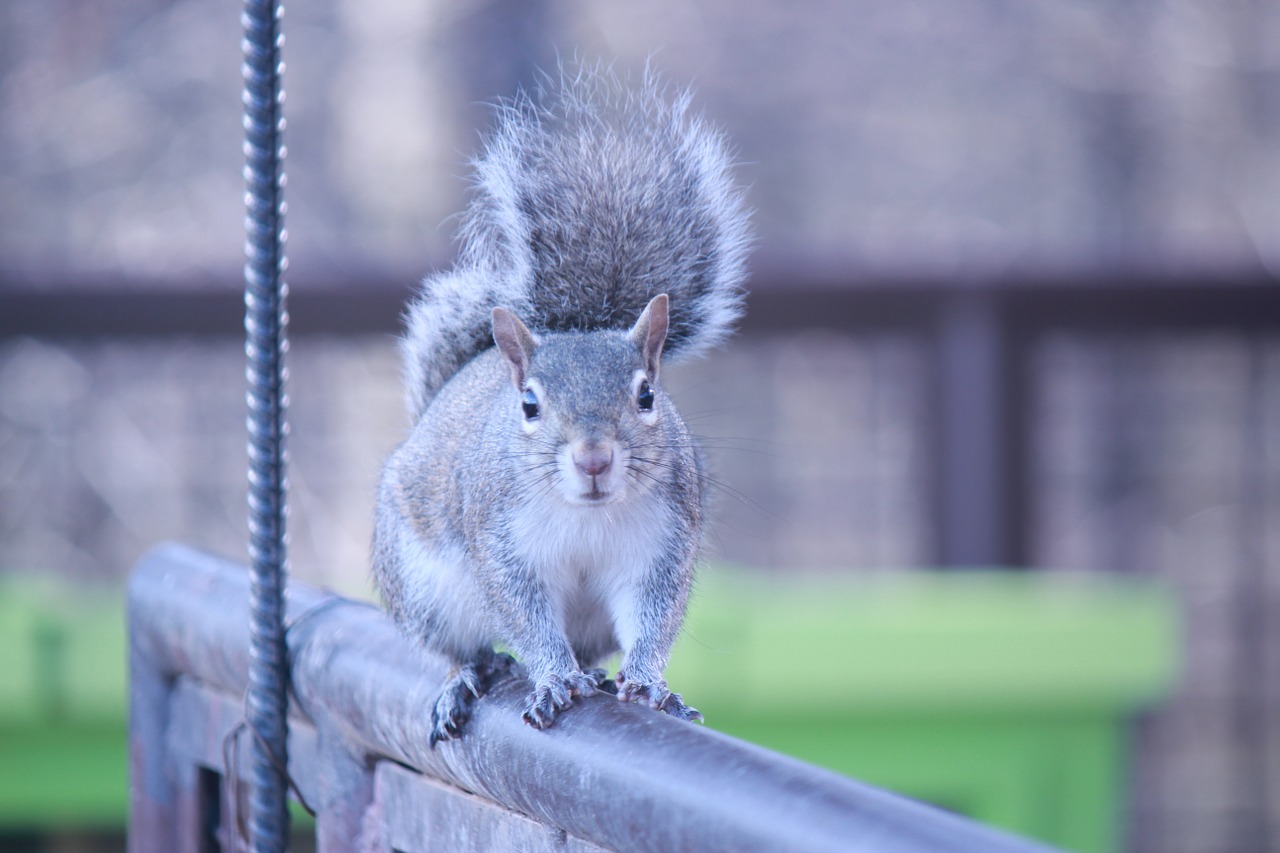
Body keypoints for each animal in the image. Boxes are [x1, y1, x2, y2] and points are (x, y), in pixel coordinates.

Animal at [371, 69, 747, 742]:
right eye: (528, 405)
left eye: (647, 395)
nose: (593, 459)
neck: (588, 517)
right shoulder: (501, 545)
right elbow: (526, 617)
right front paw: (551, 677)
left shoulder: (660, 546)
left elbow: (654, 616)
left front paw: (650, 683)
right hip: (422, 588)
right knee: (460, 648)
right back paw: (468, 677)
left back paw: (596, 674)